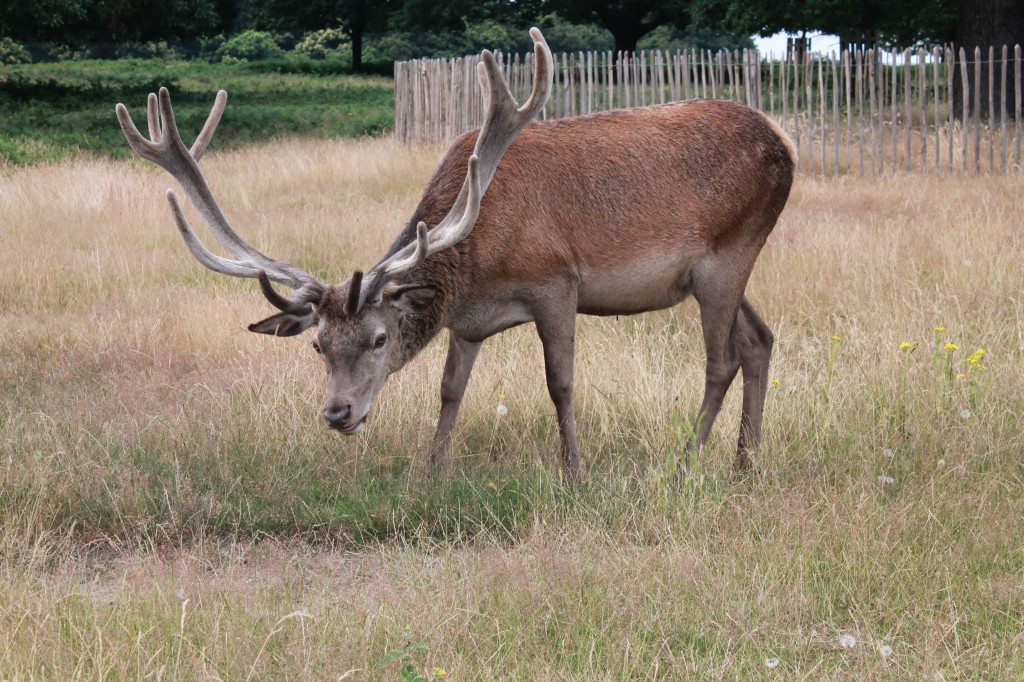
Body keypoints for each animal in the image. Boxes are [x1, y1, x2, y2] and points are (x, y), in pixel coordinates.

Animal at [116, 28, 794, 480]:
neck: (477, 268)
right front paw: (432, 469)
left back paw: (687, 460)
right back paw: (746, 463)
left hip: (728, 252)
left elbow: (560, 382)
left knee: (721, 360)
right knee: (759, 340)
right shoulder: (467, 324)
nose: (337, 414)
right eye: (317, 345)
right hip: (722, 267)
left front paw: (573, 471)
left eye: (379, 339)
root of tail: (784, 145)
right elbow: (449, 390)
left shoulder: (556, 281)